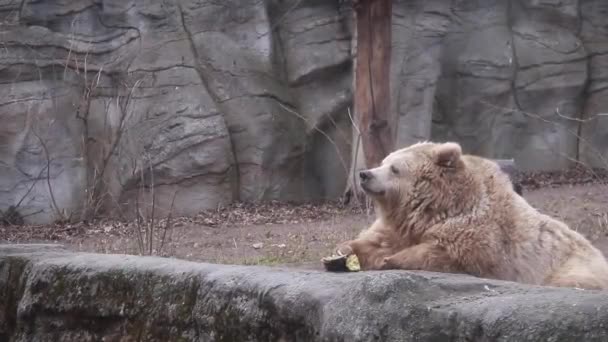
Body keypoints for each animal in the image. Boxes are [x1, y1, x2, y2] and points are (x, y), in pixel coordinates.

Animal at [334, 140, 608, 290]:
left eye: (394, 168)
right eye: (383, 161)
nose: (365, 174)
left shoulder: (479, 233)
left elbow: (448, 254)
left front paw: (390, 260)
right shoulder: (400, 224)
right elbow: (375, 239)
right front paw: (343, 252)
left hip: (574, 268)